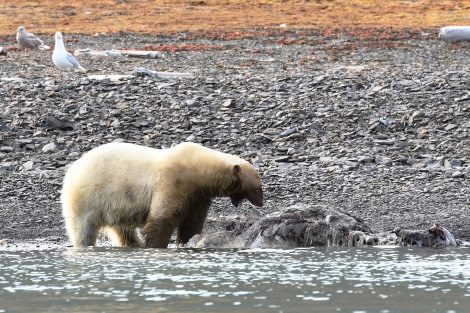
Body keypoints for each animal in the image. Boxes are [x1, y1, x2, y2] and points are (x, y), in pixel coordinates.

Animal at [60, 141, 262, 246]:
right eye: (258, 188)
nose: (261, 202)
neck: (198, 169)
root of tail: (71, 170)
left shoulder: (198, 195)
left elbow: (193, 221)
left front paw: (186, 241)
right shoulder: (173, 182)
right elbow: (163, 217)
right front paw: (156, 245)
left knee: (123, 230)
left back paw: (134, 244)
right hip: (87, 197)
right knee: (83, 228)